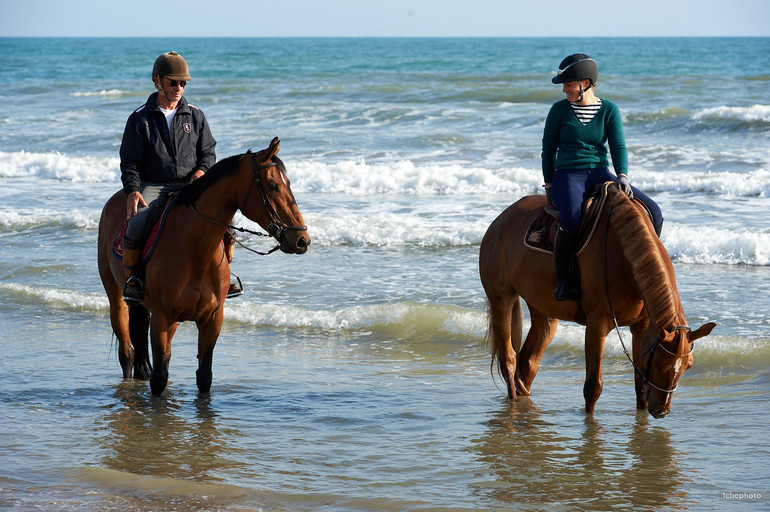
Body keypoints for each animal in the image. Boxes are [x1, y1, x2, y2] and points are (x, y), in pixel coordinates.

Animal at [98, 137, 308, 396]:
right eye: (273, 185)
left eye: (287, 183)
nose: (302, 240)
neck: (194, 251)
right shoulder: (161, 317)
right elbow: (158, 378)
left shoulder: (212, 319)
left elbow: (203, 376)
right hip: (117, 298)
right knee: (127, 352)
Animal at [480, 186, 712, 418]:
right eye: (660, 364)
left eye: (688, 366)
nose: (661, 410)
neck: (625, 260)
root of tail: (500, 220)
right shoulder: (596, 324)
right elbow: (593, 387)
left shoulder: (641, 328)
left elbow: (639, 386)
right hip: (501, 299)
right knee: (509, 359)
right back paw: (513, 408)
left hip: (544, 311)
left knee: (528, 362)